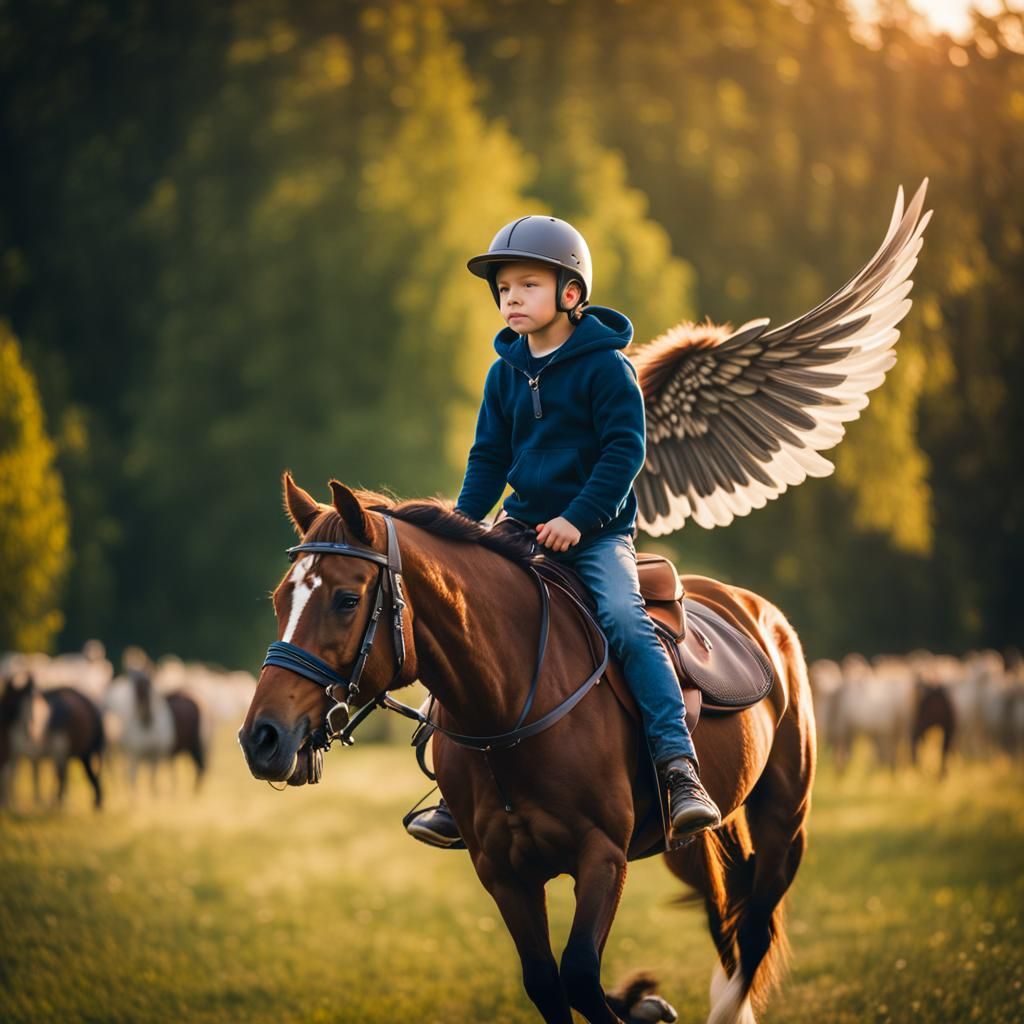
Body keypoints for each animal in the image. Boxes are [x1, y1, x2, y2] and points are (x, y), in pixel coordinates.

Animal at [239, 476, 816, 1024]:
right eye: (279, 599)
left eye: (347, 599)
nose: (261, 737)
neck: (511, 706)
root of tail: (756, 611)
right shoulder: (503, 871)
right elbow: (547, 982)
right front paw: (641, 1002)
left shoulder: (603, 855)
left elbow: (579, 974)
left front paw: (638, 1003)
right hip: (690, 844)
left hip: (782, 821)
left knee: (754, 931)